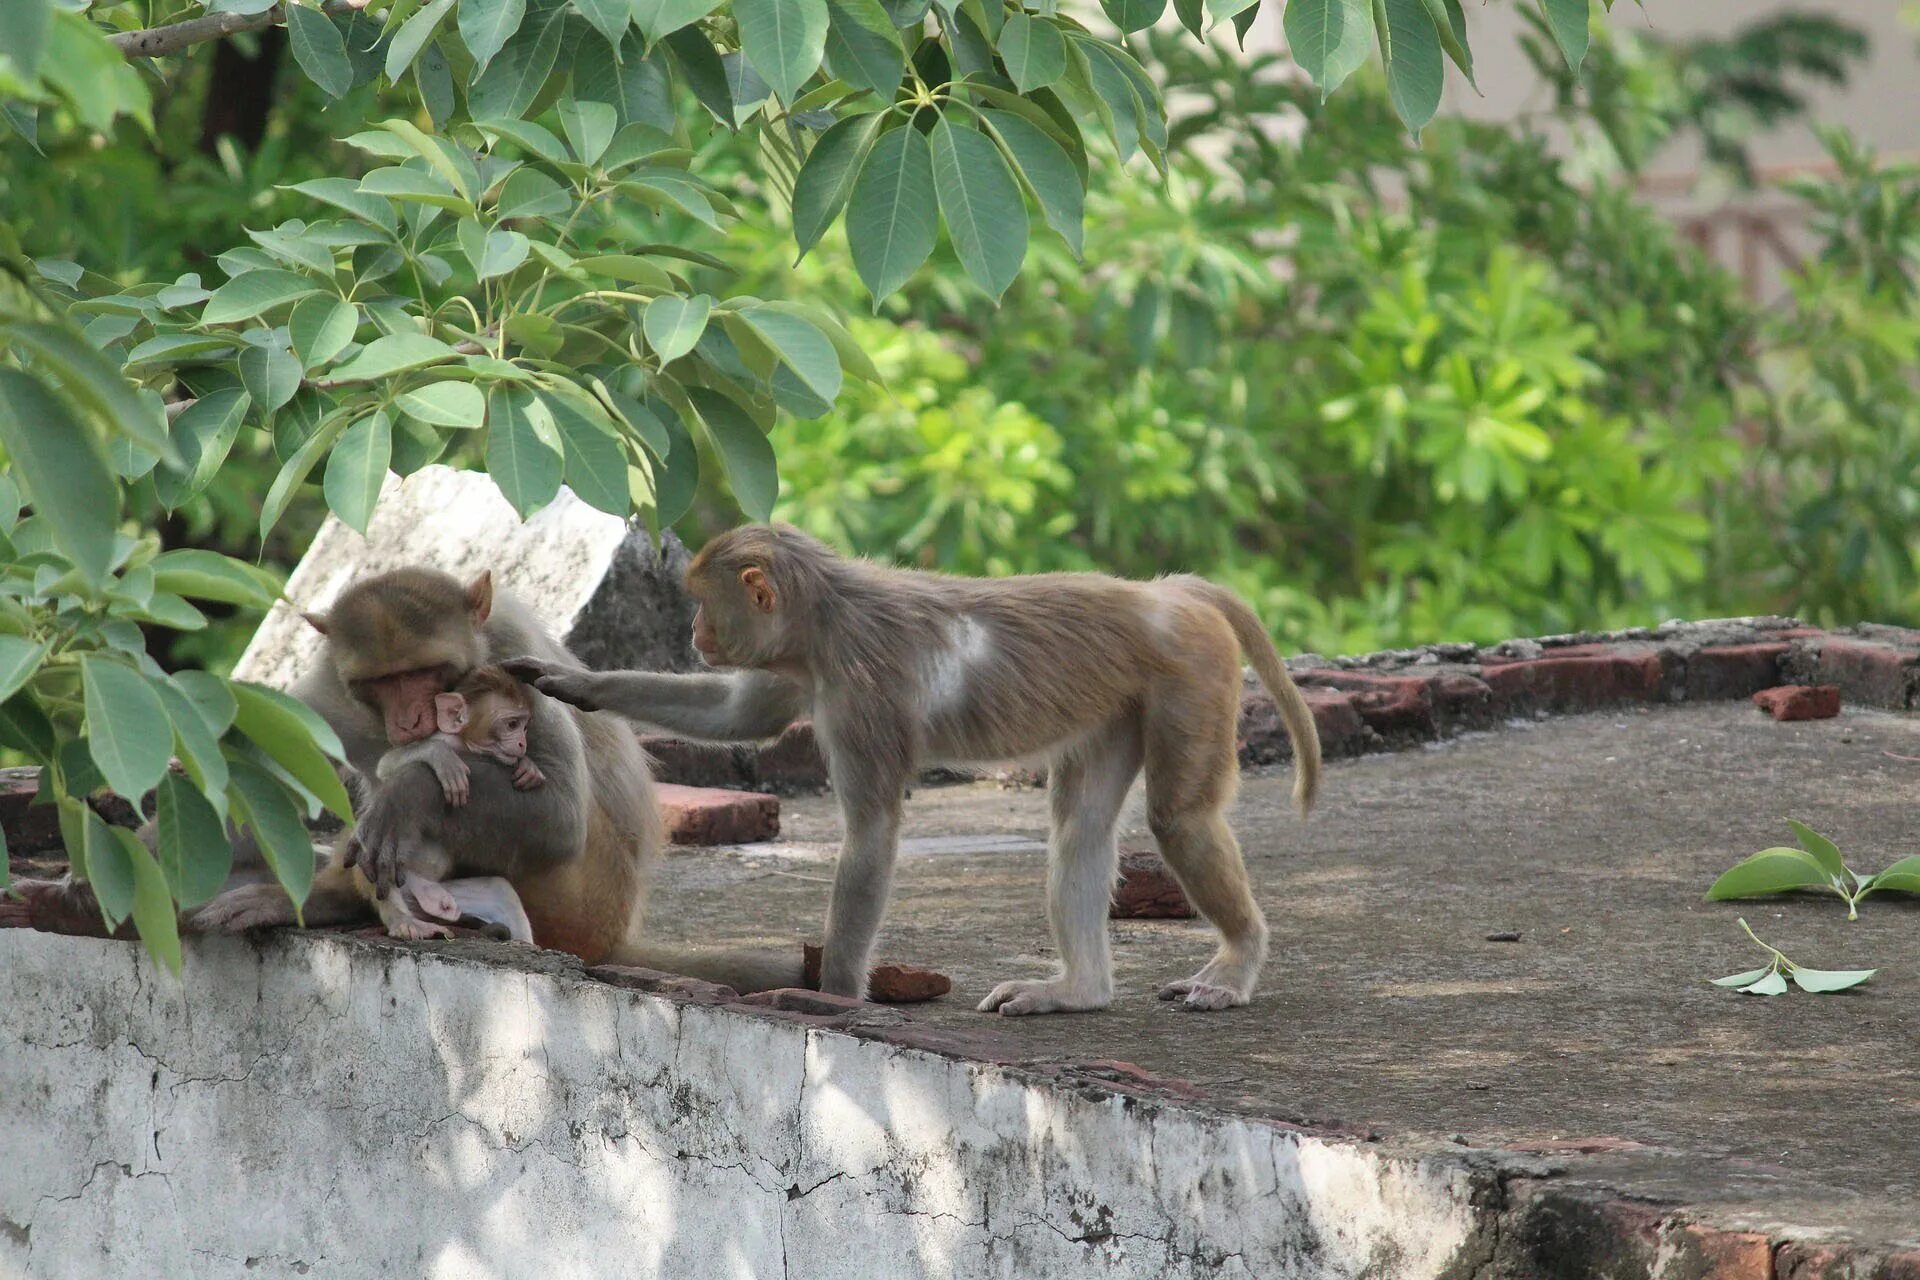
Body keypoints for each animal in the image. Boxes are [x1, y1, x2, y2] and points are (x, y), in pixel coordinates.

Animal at [362, 667, 545, 936]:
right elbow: (386, 765)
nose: (523, 743)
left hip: (451, 893)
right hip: (395, 876)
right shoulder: (448, 740)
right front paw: (440, 757)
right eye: (512, 724)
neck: (465, 745)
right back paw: (402, 920)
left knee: (502, 894)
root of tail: (420, 890)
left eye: (524, 726)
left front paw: (528, 768)